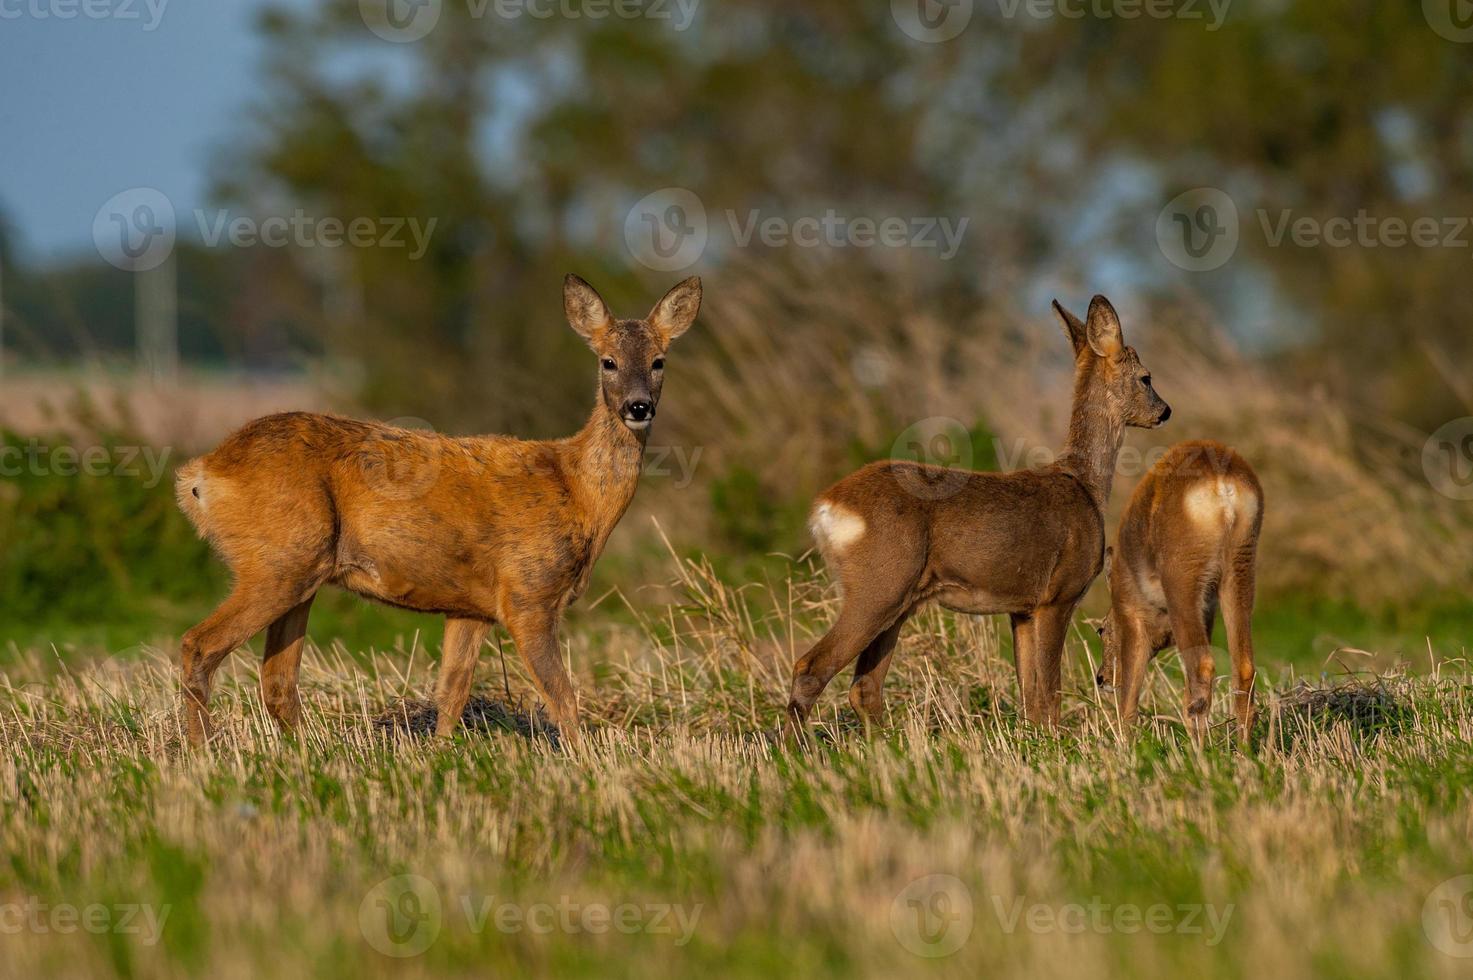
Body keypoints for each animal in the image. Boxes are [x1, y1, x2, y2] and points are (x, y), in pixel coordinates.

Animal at [172, 271, 701, 745]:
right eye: (608, 361)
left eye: (659, 361)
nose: (638, 407)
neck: (576, 493)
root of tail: (202, 473)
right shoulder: (527, 593)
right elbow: (563, 699)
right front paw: (584, 762)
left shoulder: (471, 608)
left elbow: (452, 694)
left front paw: (441, 756)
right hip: (279, 558)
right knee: (199, 645)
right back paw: (203, 752)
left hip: (299, 570)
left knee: (277, 680)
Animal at [789, 297, 1166, 733]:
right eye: (1146, 378)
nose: (1165, 411)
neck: (1085, 485)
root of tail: (826, 506)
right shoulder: (1059, 593)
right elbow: (1050, 692)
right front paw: (1057, 738)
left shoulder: (1022, 607)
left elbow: (1031, 695)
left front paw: (1036, 739)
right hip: (879, 584)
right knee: (811, 667)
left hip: (899, 599)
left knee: (864, 687)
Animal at [1095, 436, 1266, 742]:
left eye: (1101, 629)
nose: (1101, 678)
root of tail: (1223, 486)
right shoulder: (1207, 613)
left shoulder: (1132, 615)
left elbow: (1129, 697)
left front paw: (1124, 745)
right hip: (1239, 569)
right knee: (1244, 668)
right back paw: (1243, 748)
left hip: (1181, 580)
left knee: (1202, 669)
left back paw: (1200, 748)